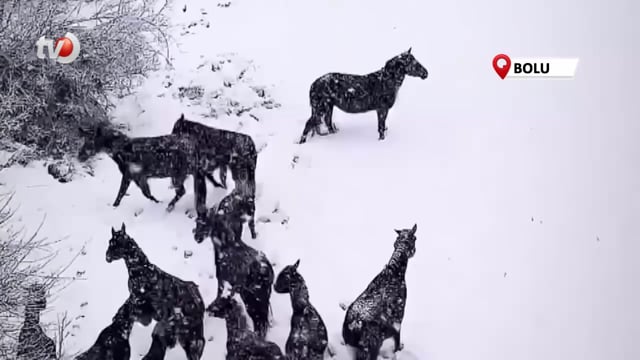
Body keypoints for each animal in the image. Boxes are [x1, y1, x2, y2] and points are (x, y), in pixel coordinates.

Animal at [298, 48, 428, 143]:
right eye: (412, 62)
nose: (426, 73)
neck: (386, 81)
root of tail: (313, 84)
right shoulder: (382, 109)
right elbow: (381, 127)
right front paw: (381, 140)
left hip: (328, 106)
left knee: (327, 121)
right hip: (320, 108)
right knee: (309, 124)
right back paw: (302, 142)